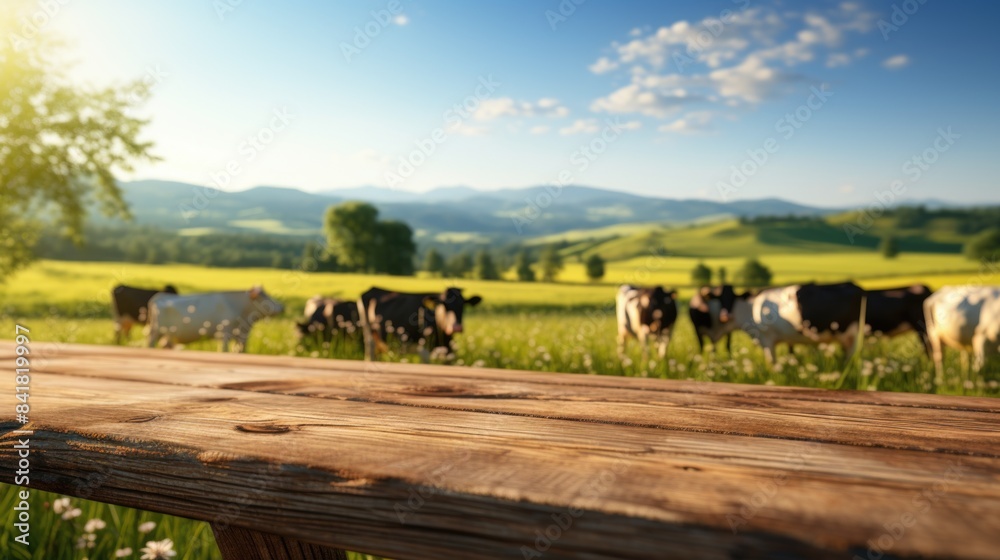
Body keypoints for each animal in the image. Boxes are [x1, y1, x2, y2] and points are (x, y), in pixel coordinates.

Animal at [148, 286, 284, 352]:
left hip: (167, 335)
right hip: (156, 331)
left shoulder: (241, 336)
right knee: (151, 343)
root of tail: (158, 297)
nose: (281, 307)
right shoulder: (225, 333)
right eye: (263, 296)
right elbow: (224, 350)